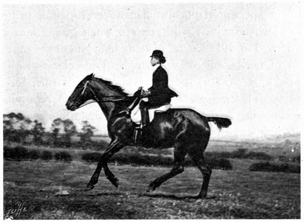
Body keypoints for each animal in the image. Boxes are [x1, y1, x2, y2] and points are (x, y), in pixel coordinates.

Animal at [64, 74, 230, 198]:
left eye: (79, 86)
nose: (68, 104)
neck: (119, 109)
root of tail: (204, 118)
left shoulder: (120, 141)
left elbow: (102, 157)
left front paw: (93, 183)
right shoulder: (115, 141)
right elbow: (103, 158)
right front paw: (114, 181)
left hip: (183, 146)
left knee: (179, 167)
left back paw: (152, 185)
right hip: (194, 150)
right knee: (205, 170)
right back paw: (200, 195)